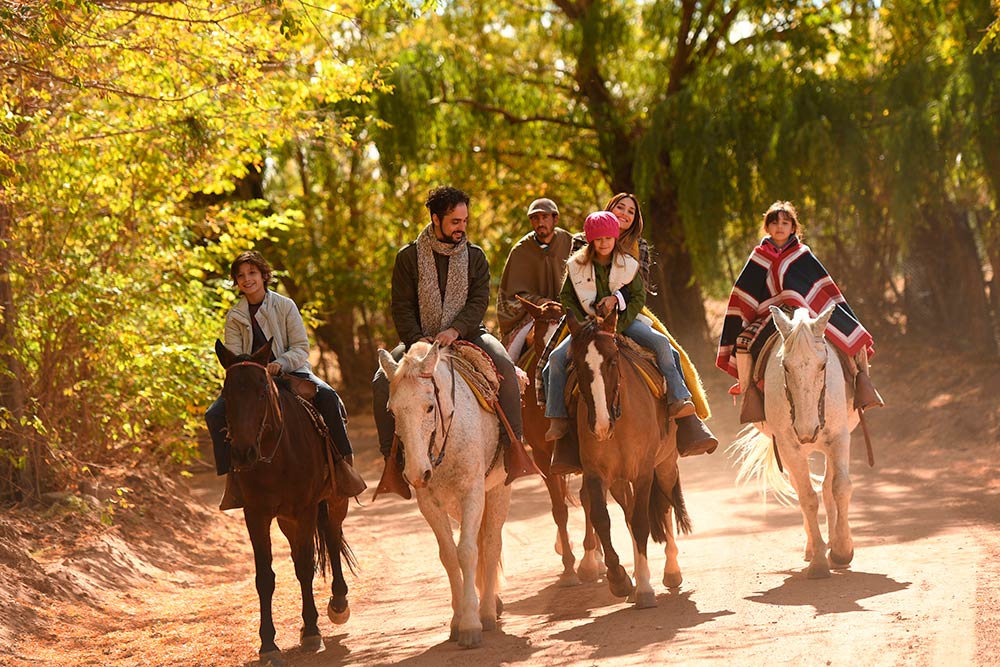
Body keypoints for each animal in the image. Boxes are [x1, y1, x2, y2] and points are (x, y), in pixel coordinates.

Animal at [214, 340, 356, 664]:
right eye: (226, 395)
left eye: (262, 392)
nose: (243, 453)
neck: (274, 456)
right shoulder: (256, 515)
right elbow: (265, 577)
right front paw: (268, 644)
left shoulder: (305, 509)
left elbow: (305, 567)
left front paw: (313, 631)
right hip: (286, 520)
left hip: (334, 501)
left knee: (332, 538)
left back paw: (338, 603)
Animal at [377, 341, 511, 648]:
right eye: (392, 412)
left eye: (429, 407)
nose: (416, 473)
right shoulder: (429, 504)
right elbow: (449, 555)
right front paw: (458, 620)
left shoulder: (473, 493)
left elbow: (468, 552)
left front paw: (472, 623)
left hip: (498, 491)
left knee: (491, 544)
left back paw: (488, 611)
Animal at [566, 311, 692, 608]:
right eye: (577, 364)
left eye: (612, 360)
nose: (601, 425)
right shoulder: (597, 474)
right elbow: (603, 519)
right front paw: (620, 579)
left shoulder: (644, 472)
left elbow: (642, 523)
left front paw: (645, 587)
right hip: (620, 482)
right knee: (628, 514)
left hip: (665, 466)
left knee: (663, 508)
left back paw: (671, 571)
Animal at [729, 305, 859, 579]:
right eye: (786, 367)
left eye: (822, 365)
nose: (807, 431)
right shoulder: (789, 447)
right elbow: (807, 498)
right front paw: (819, 561)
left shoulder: (840, 438)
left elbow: (840, 488)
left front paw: (842, 550)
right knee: (802, 490)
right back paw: (813, 548)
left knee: (828, 488)